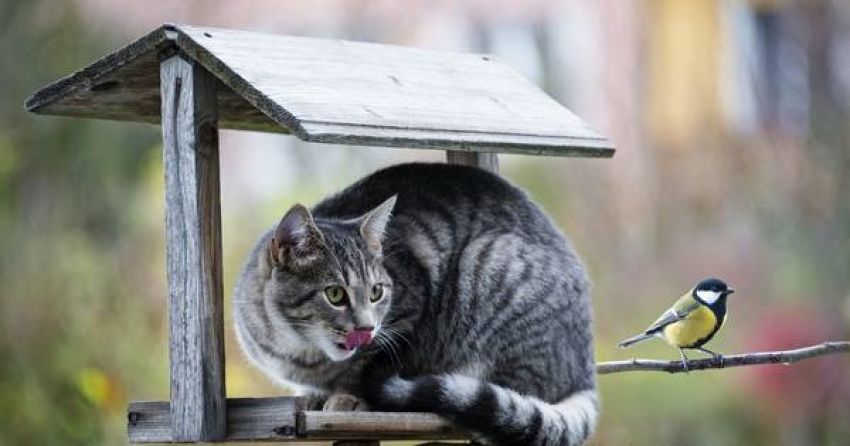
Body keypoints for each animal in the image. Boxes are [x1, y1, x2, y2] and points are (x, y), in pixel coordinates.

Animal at [232, 162, 596, 444]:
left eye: (376, 292)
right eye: (335, 294)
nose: (367, 328)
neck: (300, 351)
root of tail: (585, 368)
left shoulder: (409, 315)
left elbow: (369, 367)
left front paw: (349, 397)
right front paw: (312, 396)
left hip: (491, 263)